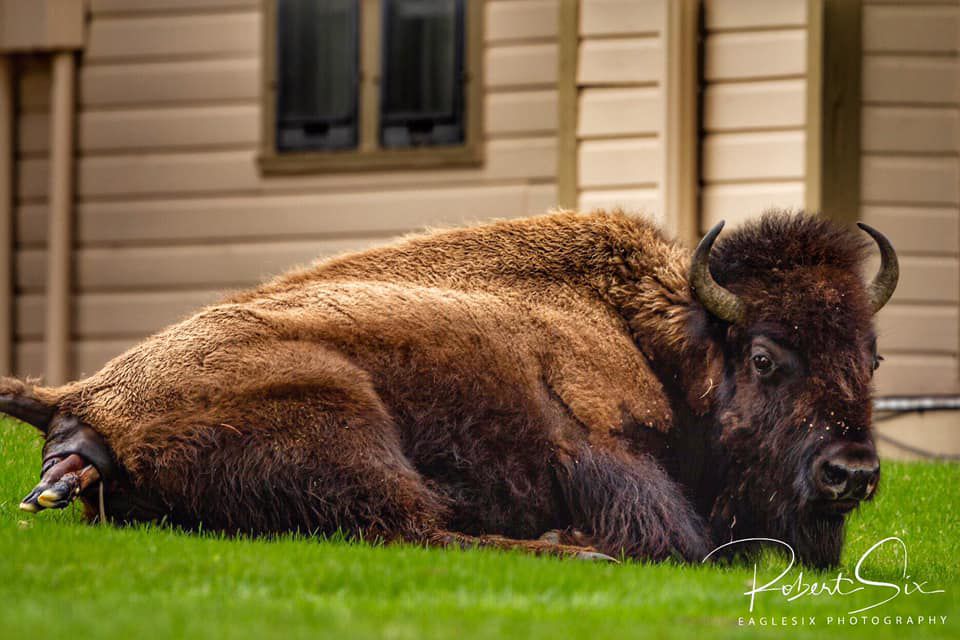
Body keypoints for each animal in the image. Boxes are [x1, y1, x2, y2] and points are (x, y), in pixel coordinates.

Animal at [3, 210, 897, 567]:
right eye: (766, 357)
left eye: (874, 356)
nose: (851, 473)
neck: (662, 340)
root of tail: (84, 397)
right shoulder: (606, 455)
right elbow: (681, 537)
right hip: (350, 427)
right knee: (414, 530)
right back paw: (578, 550)